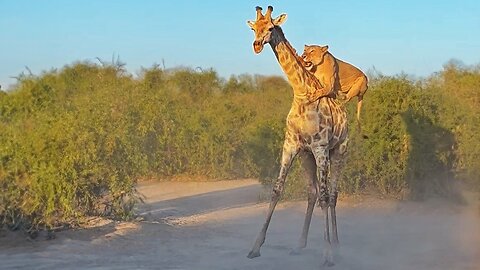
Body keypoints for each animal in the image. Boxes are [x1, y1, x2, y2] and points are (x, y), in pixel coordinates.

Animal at [248, 5, 344, 266]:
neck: (302, 93)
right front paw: (255, 247)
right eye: (253, 28)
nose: (257, 44)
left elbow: (325, 197)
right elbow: (276, 190)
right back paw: (300, 245)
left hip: (339, 152)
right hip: (306, 157)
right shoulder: (291, 145)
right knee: (312, 193)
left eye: (271, 27)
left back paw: (336, 245)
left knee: (331, 195)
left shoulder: (321, 148)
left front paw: (327, 254)